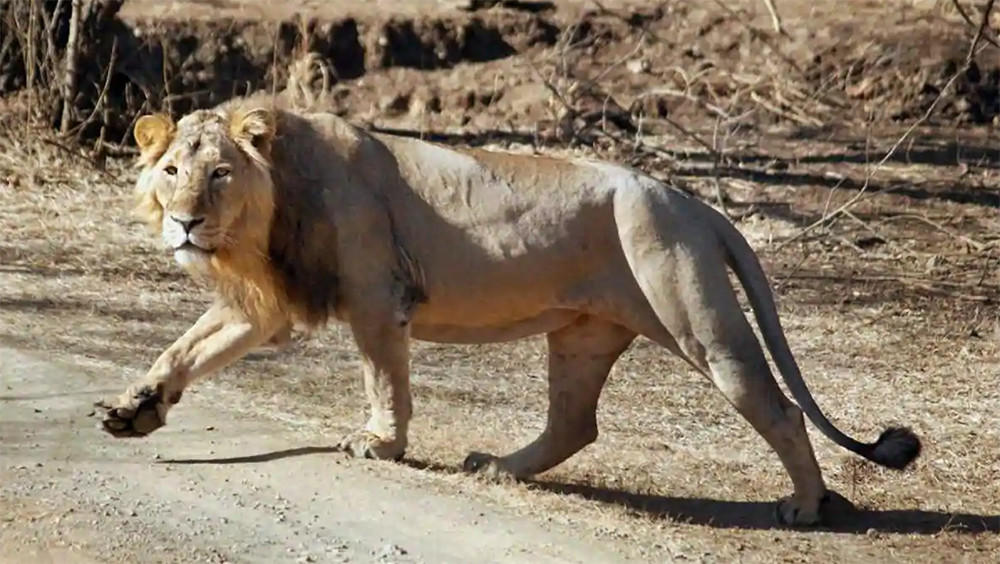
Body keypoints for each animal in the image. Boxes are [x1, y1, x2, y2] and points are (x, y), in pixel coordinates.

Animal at [101, 92, 920, 528]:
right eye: (169, 170)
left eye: (219, 173)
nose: (185, 224)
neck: (266, 217)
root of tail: (692, 200)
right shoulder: (267, 304)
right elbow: (186, 348)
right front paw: (133, 410)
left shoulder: (376, 297)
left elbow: (383, 379)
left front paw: (380, 445)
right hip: (584, 336)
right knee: (575, 424)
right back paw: (497, 467)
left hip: (700, 322)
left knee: (780, 410)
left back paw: (807, 507)